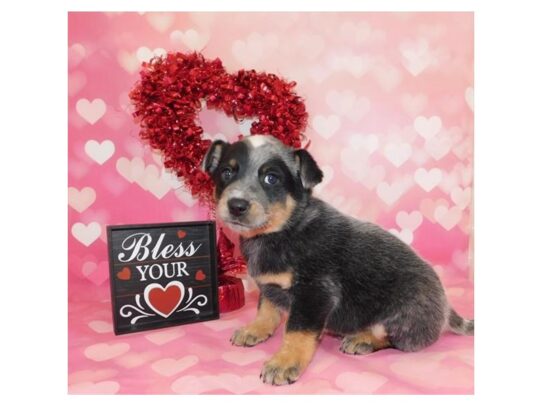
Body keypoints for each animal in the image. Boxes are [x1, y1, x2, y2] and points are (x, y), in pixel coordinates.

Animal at [202, 136, 474, 386]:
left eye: (271, 178)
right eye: (226, 172)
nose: (236, 205)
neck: (282, 231)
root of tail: (447, 308)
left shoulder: (315, 293)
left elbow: (297, 331)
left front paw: (285, 362)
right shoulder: (269, 285)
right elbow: (266, 311)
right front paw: (255, 329)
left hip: (404, 318)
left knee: (391, 337)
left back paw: (362, 339)